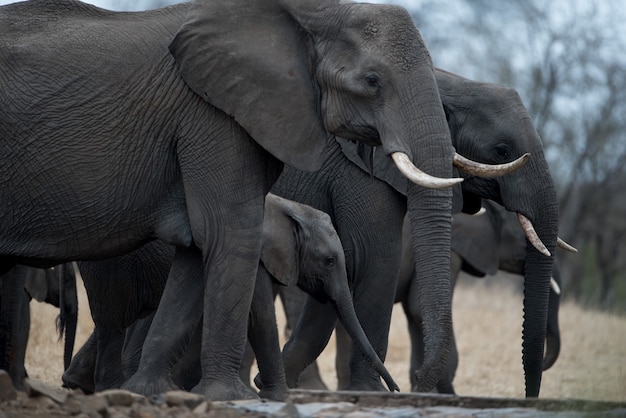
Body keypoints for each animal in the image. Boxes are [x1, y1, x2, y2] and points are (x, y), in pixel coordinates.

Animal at [62, 194, 394, 400]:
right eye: (328, 261)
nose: (395, 389)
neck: (290, 208)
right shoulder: (254, 256)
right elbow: (259, 313)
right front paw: (276, 396)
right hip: (111, 267)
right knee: (113, 322)